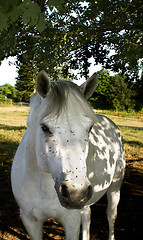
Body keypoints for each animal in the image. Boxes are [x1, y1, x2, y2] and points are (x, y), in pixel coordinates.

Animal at [11, 70, 125, 239]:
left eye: (89, 128)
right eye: (44, 127)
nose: (76, 193)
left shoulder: (71, 221)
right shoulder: (30, 220)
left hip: (115, 186)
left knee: (111, 214)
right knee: (87, 215)